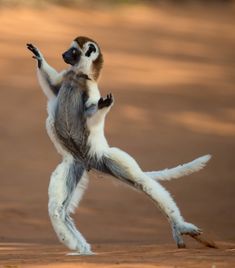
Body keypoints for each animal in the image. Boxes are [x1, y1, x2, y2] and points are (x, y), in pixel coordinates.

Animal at [26, 36, 216, 254]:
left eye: (73, 51)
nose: (63, 55)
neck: (77, 76)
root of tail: (89, 161)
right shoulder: (67, 78)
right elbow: (52, 86)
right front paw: (39, 57)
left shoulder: (91, 89)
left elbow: (91, 114)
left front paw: (102, 106)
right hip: (75, 164)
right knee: (59, 211)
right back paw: (83, 250)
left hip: (104, 156)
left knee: (141, 182)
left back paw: (179, 226)